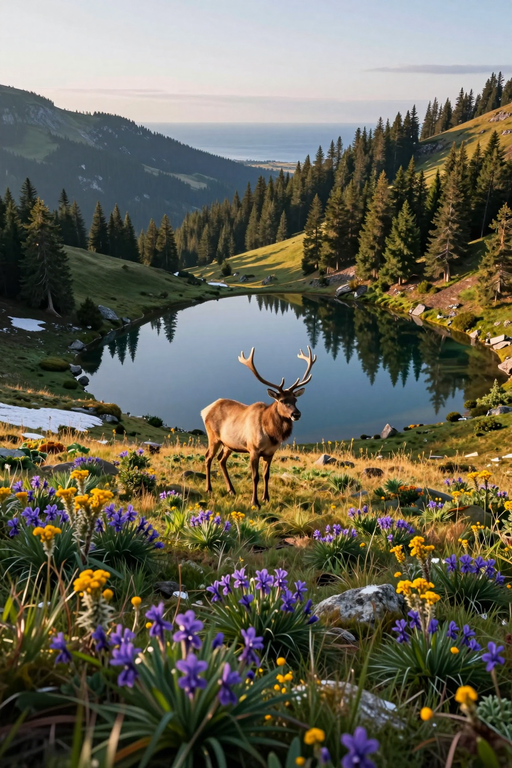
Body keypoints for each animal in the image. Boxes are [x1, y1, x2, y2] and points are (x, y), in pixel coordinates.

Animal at [201, 346, 317, 507]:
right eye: (282, 400)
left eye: (295, 400)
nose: (296, 414)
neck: (271, 434)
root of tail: (204, 410)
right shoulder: (253, 449)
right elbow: (255, 476)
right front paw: (254, 502)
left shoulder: (270, 453)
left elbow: (266, 475)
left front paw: (266, 498)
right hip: (213, 437)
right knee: (208, 458)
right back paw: (209, 489)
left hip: (228, 444)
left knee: (221, 460)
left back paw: (231, 490)